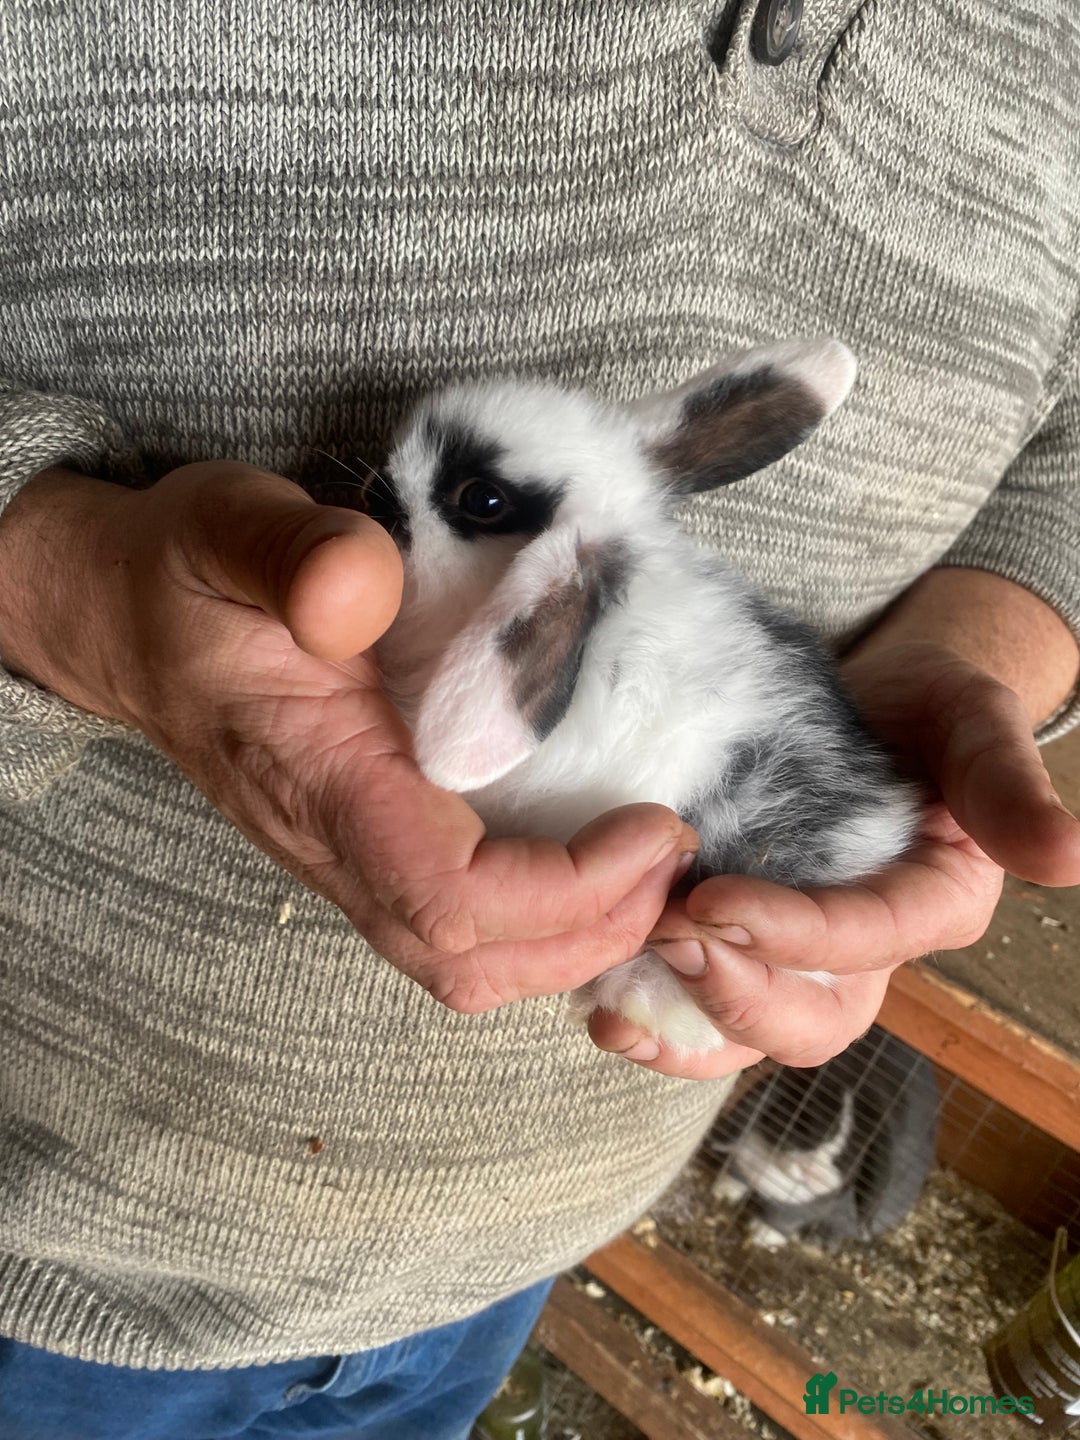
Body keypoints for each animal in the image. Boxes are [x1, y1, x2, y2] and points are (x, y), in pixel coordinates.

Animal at [706, 1025, 940, 1246]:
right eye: (803, 1122)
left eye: (856, 1153)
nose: (813, 1173)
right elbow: (737, 1175)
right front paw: (724, 1190)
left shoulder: (813, 1208)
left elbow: (784, 1219)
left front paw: (763, 1236)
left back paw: (818, 1241)